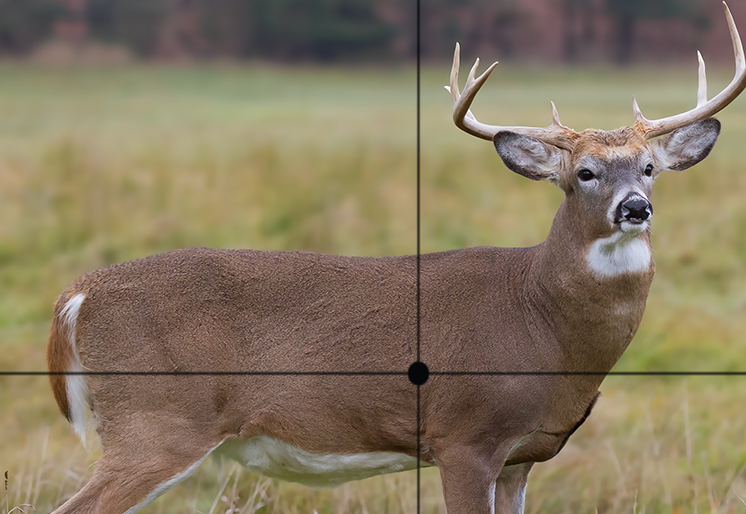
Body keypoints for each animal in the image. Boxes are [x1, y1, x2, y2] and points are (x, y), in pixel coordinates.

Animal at [48, 4, 744, 512]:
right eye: (584, 174)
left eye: (650, 167)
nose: (635, 208)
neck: (543, 324)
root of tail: (77, 295)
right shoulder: (464, 436)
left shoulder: (522, 456)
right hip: (157, 420)